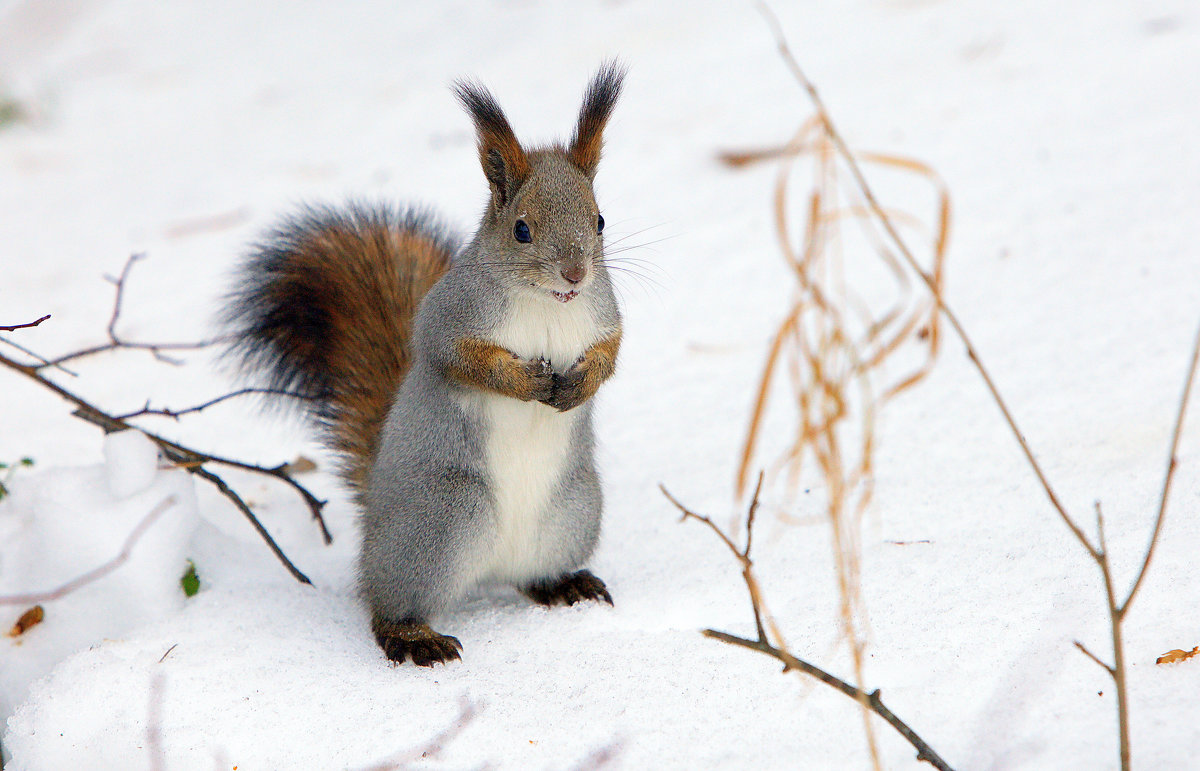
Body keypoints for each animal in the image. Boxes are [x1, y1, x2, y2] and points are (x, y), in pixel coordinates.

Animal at [222, 63, 628, 662]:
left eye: (599, 220)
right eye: (522, 229)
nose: (576, 275)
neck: (548, 303)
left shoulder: (604, 316)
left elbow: (611, 353)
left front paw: (579, 385)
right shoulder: (448, 319)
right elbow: (462, 360)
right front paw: (525, 380)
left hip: (573, 511)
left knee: (533, 573)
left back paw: (563, 583)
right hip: (442, 521)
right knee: (388, 601)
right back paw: (412, 637)